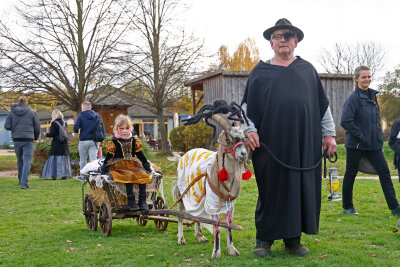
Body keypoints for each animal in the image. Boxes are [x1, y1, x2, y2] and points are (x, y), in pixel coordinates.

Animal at [173, 115, 248, 260]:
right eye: (228, 139)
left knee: (196, 214)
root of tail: (184, 154)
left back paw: (200, 236)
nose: (244, 154)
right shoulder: (214, 204)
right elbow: (217, 227)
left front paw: (232, 250)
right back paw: (181, 239)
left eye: (243, 138)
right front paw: (216, 252)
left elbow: (229, 225)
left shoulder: (231, 203)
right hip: (183, 193)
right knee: (180, 215)